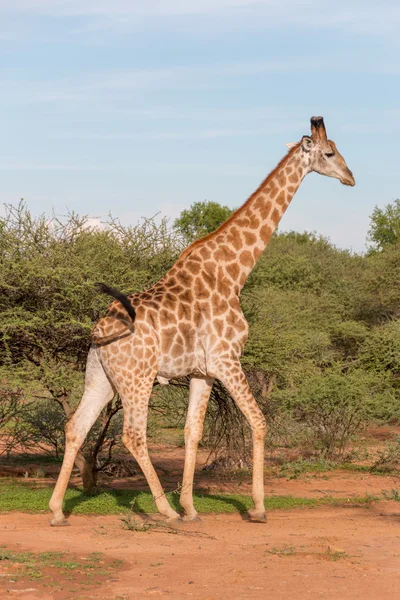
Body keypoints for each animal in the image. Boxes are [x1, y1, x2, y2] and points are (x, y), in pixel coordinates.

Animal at [49, 116, 354, 524]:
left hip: (101, 377)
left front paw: (192, 506)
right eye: (330, 153)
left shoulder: (202, 371)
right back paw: (164, 510)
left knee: (76, 427)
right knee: (133, 434)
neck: (234, 273)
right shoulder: (227, 359)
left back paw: (57, 510)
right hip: (138, 377)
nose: (351, 177)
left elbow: (192, 431)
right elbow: (258, 421)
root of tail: (99, 331)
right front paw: (257, 507)